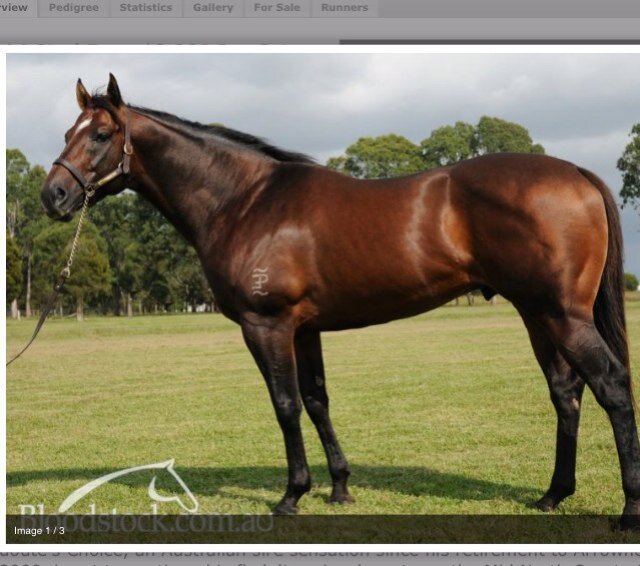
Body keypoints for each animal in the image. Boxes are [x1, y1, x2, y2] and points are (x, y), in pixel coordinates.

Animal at [42, 75, 636, 528]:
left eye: (100, 134)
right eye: (67, 131)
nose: (53, 195)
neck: (244, 201)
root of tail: (576, 172)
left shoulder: (267, 326)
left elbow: (285, 405)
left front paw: (291, 495)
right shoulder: (306, 329)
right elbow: (317, 400)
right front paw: (340, 487)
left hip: (562, 315)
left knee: (610, 386)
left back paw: (627, 510)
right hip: (538, 315)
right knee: (566, 393)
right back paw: (552, 495)